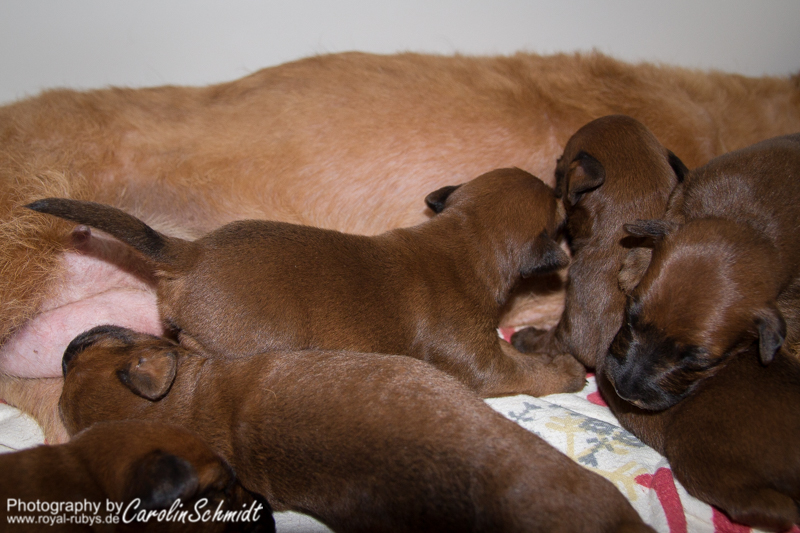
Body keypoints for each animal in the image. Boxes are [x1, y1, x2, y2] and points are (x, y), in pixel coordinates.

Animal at [28, 168, 586, 398]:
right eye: (561, 217)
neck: (466, 234)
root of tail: (192, 251)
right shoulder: (482, 365)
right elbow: (526, 372)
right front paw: (565, 372)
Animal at [604, 133, 800, 411]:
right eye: (629, 319)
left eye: (700, 363)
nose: (623, 391)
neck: (746, 224)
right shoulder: (688, 189)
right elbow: (671, 216)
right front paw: (640, 261)